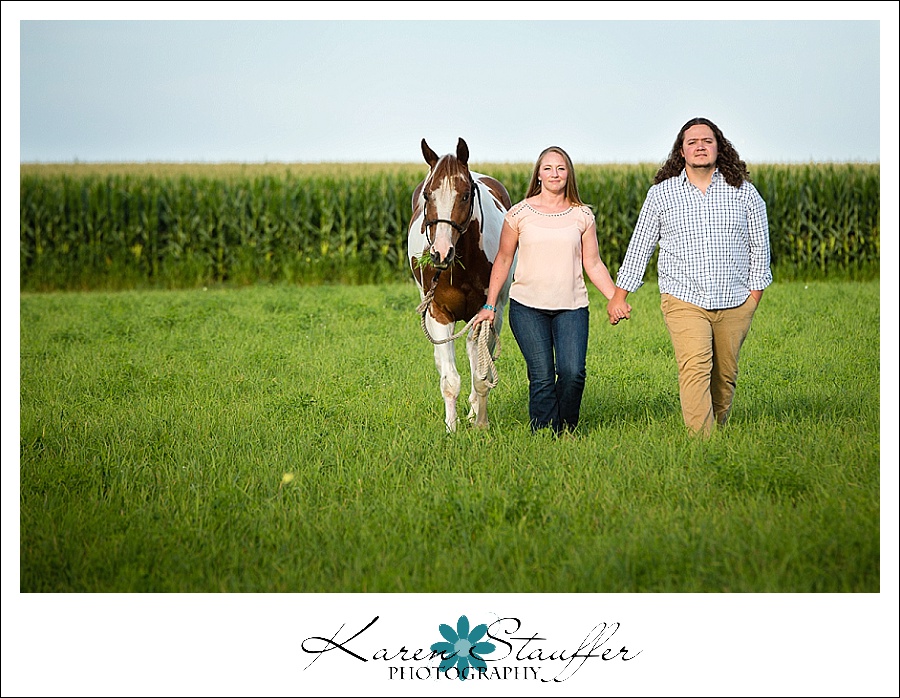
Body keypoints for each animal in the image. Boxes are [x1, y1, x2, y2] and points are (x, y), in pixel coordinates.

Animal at [406, 137, 512, 430]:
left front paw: (478, 421)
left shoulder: (485, 315)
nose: (441, 253)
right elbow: (450, 380)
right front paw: (450, 429)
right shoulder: (439, 313)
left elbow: (481, 374)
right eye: (428, 194)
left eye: (465, 195)